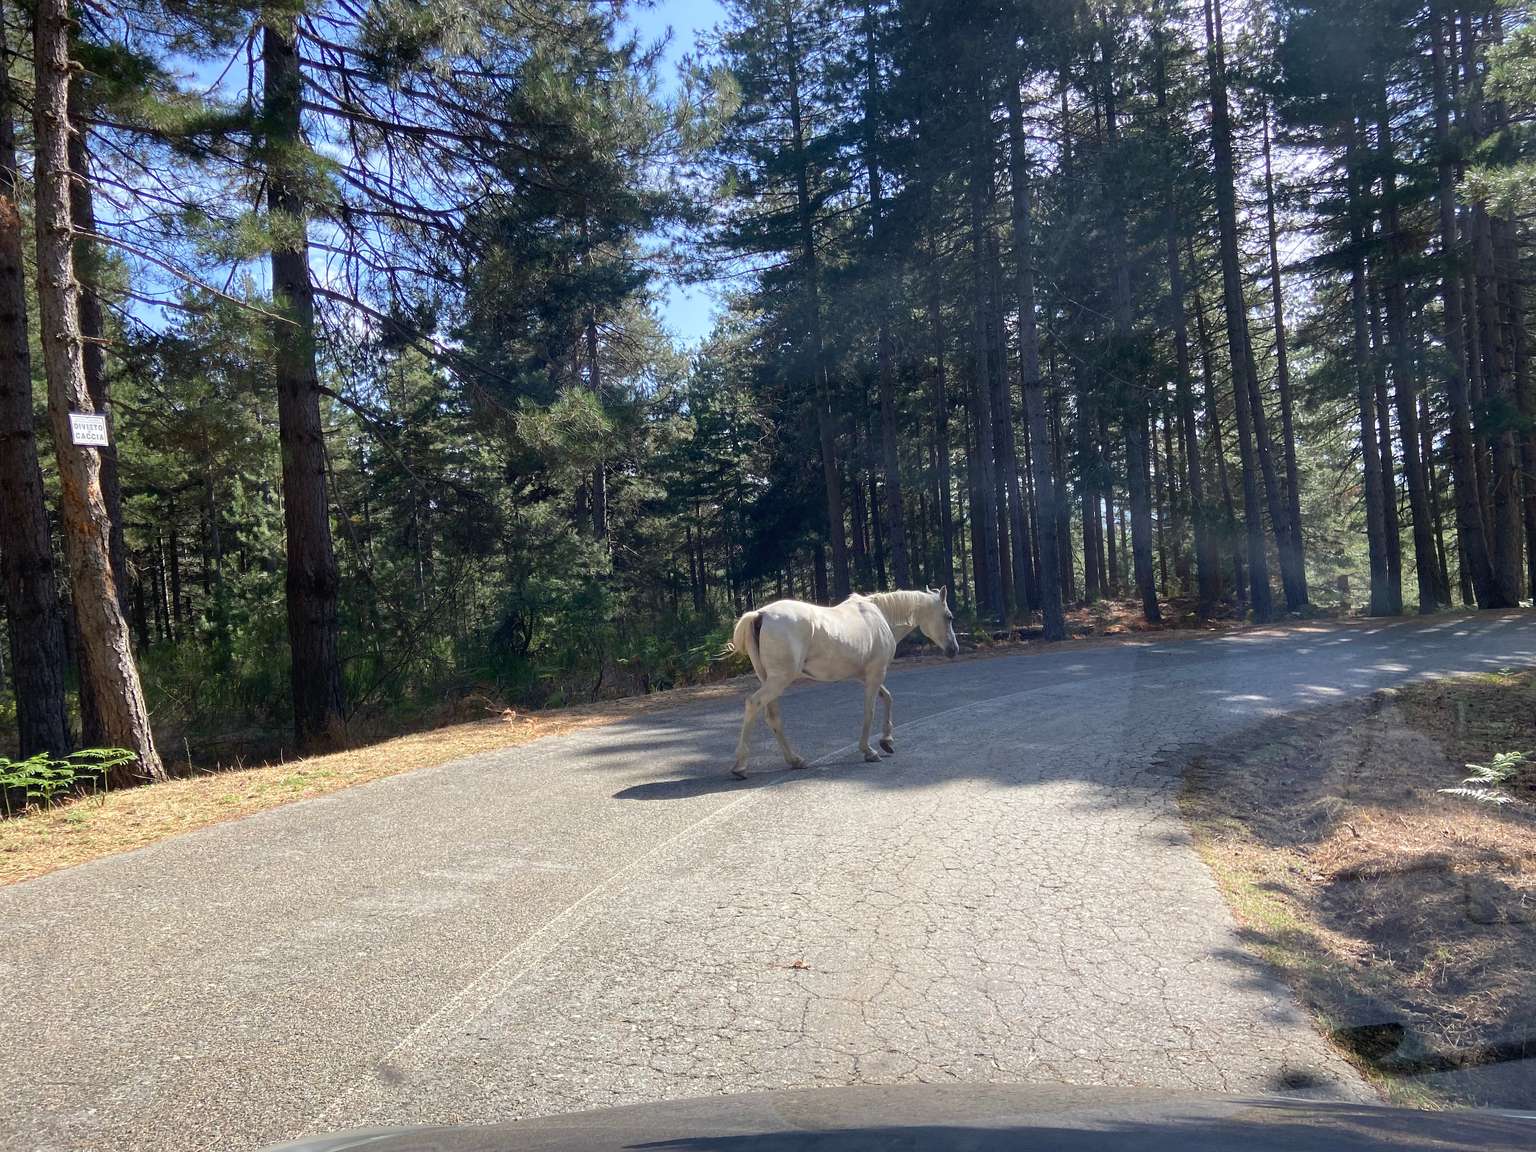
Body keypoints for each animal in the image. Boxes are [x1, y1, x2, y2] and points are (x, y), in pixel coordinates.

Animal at [725, 587, 960, 779]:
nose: (954, 650)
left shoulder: (865, 676)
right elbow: (870, 710)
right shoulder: (875, 674)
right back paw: (740, 766)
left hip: (770, 680)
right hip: (778, 680)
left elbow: (888, 698)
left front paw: (887, 741)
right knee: (753, 704)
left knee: (773, 717)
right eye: (948, 617)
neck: (881, 616)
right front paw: (869, 751)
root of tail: (760, 615)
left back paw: (795, 760)